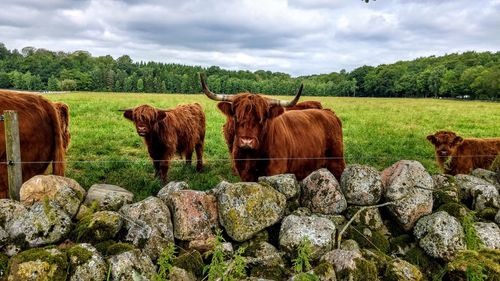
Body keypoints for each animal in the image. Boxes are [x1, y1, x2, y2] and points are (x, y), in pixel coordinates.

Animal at [199, 73, 344, 180]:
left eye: (262, 119)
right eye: (236, 117)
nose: (246, 141)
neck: (253, 157)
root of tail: (329, 113)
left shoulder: (276, 172)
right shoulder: (246, 176)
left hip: (337, 163)